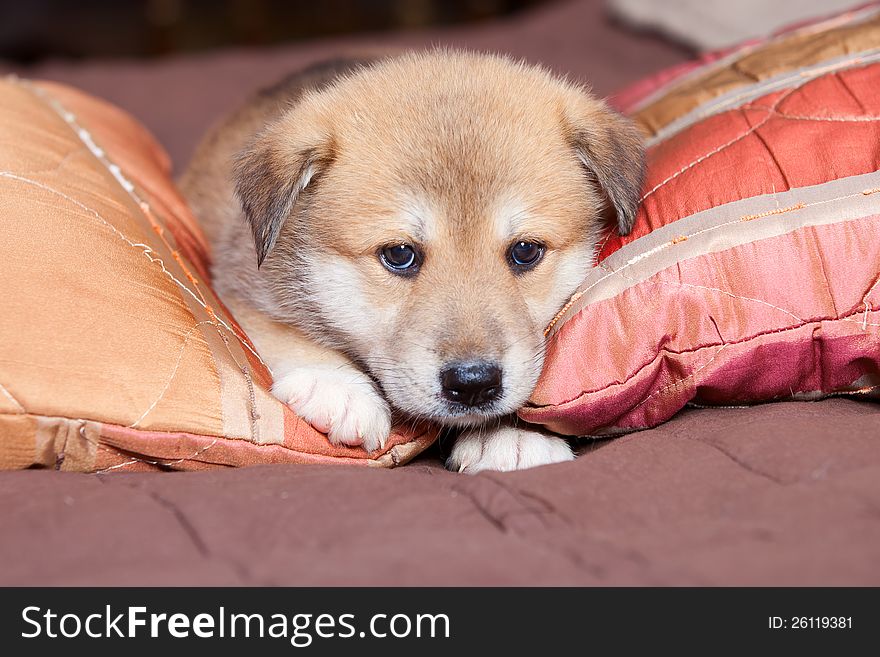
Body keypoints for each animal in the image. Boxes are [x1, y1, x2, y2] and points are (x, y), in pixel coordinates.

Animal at [180, 51, 648, 472]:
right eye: (399, 255)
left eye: (526, 251)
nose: (474, 384)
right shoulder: (240, 287)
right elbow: (282, 332)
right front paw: (338, 388)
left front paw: (513, 435)